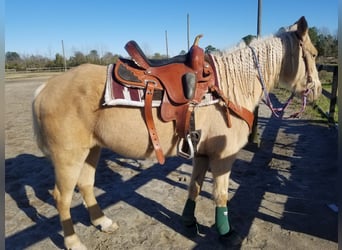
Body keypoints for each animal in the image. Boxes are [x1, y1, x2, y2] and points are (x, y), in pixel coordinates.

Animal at [32, 16, 320, 249]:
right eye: (314, 54)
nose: (317, 90)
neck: (231, 86)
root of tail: (44, 88)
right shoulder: (224, 156)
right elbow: (221, 194)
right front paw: (226, 234)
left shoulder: (202, 153)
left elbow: (195, 187)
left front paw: (189, 222)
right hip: (68, 157)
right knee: (62, 197)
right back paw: (73, 242)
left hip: (92, 150)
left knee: (86, 185)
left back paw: (102, 221)